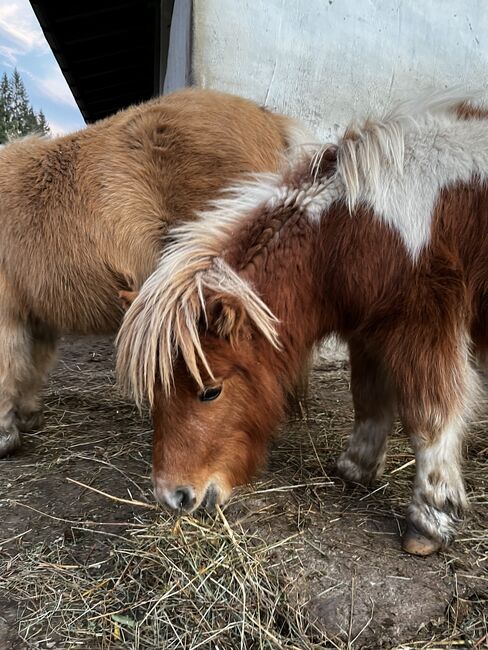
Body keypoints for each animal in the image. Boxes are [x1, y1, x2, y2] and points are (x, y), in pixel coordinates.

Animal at [117, 93, 488, 556]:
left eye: (211, 391)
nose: (173, 497)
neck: (361, 229)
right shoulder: (369, 330)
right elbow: (368, 396)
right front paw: (356, 468)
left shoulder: (424, 325)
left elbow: (429, 419)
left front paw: (430, 518)